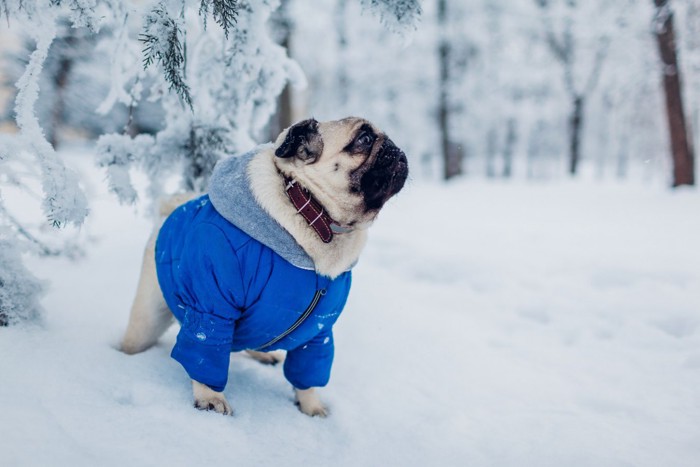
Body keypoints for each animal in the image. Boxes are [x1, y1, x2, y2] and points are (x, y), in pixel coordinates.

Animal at [119, 119, 404, 418]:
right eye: (364, 139)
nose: (394, 147)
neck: (314, 215)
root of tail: (169, 210)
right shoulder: (211, 308)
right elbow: (206, 349)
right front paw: (210, 398)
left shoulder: (318, 331)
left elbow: (308, 375)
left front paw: (311, 408)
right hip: (147, 321)